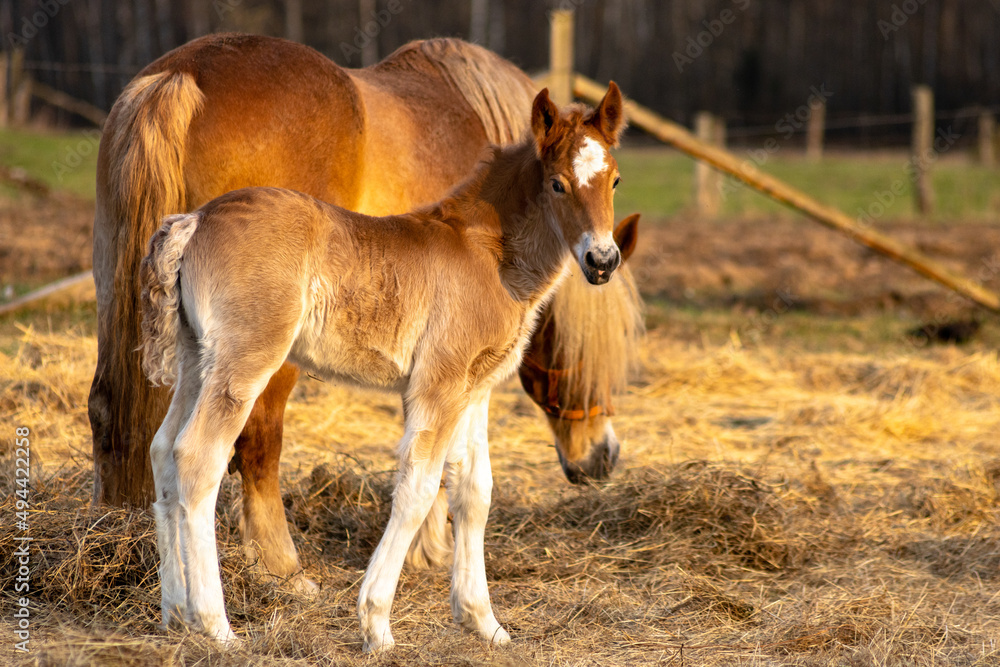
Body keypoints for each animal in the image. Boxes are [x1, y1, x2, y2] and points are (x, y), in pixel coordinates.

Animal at [89, 34, 643, 591]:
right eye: (558, 184)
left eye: (617, 181)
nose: (602, 459)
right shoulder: (436, 377)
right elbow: (426, 474)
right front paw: (424, 553)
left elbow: (460, 478)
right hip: (256, 357)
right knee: (236, 444)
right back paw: (278, 572)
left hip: (145, 311)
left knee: (129, 421)